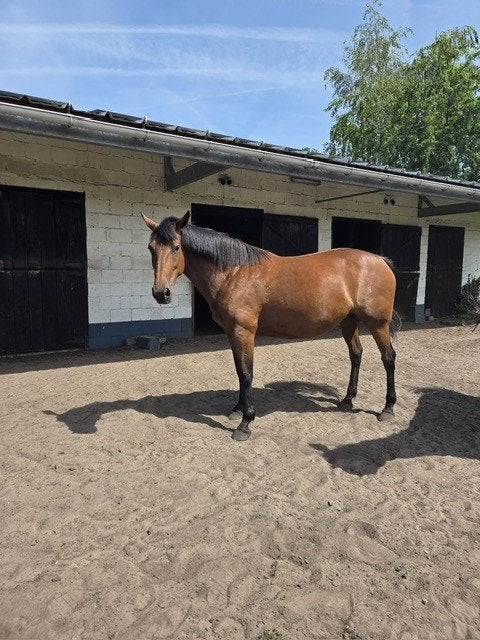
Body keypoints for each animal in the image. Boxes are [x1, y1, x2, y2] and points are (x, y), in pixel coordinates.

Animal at [142, 211, 398, 442]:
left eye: (176, 247)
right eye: (151, 248)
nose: (161, 293)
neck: (234, 273)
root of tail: (380, 260)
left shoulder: (244, 332)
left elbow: (247, 373)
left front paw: (245, 423)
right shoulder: (231, 332)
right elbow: (239, 370)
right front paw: (237, 410)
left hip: (377, 324)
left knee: (388, 358)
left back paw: (387, 408)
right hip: (349, 321)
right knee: (356, 355)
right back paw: (347, 400)